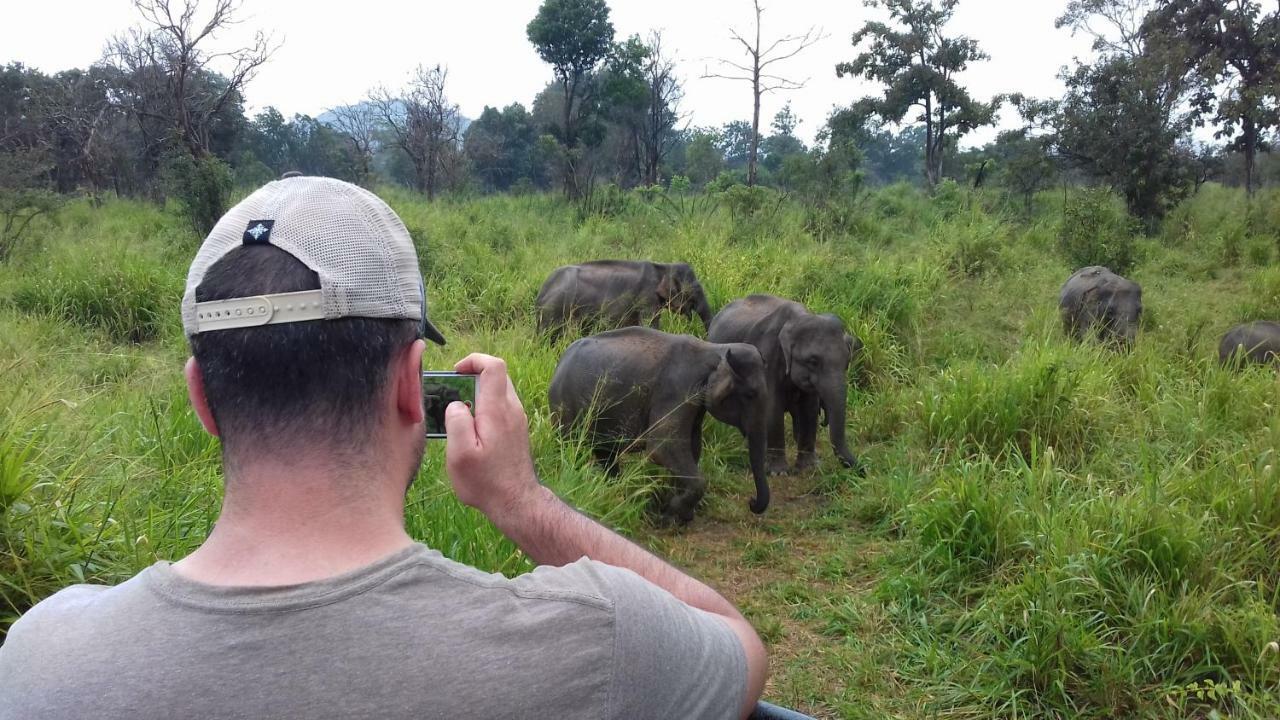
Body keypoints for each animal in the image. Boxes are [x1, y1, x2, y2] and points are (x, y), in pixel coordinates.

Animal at [529, 258, 711, 340]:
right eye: (695, 290)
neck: (664, 266)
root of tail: (541, 292)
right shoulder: (647, 299)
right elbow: (650, 325)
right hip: (554, 308)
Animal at [550, 325, 768, 520]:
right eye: (750, 394)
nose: (751, 502)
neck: (715, 350)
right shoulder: (676, 390)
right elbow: (662, 447)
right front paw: (670, 514)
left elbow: (692, 445)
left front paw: (677, 512)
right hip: (565, 408)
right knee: (572, 448)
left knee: (605, 453)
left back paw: (616, 492)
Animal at [706, 294, 865, 474]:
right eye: (813, 361)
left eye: (847, 362)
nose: (864, 470)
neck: (797, 318)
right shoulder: (766, 357)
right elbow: (772, 406)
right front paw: (778, 472)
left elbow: (809, 409)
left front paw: (809, 468)